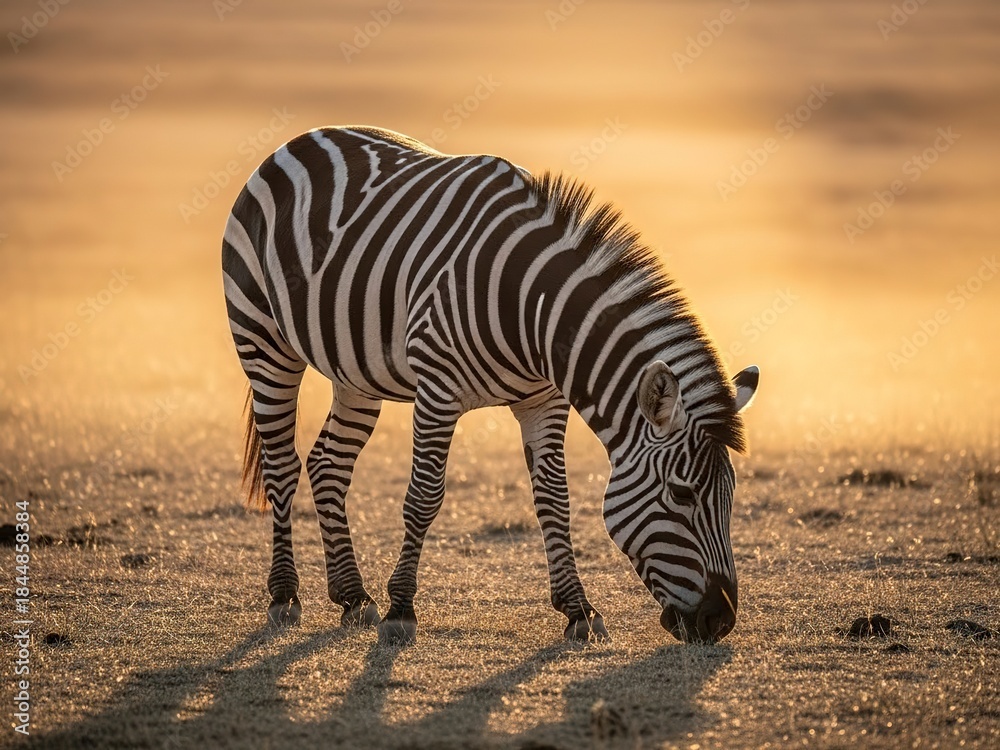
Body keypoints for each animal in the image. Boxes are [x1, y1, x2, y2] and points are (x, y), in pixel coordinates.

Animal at [222, 125, 759, 645]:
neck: (532, 312)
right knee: (282, 467)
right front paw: (401, 610)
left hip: (355, 373)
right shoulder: (437, 390)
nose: (719, 622)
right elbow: (424, 497)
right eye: (682, 494)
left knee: (327, 465)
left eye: (731, 495)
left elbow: (555, 500)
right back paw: (285, 595)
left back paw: (353, 597)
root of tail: (304, 138)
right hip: (263, 340)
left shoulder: (545, 401)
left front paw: (578, 609)